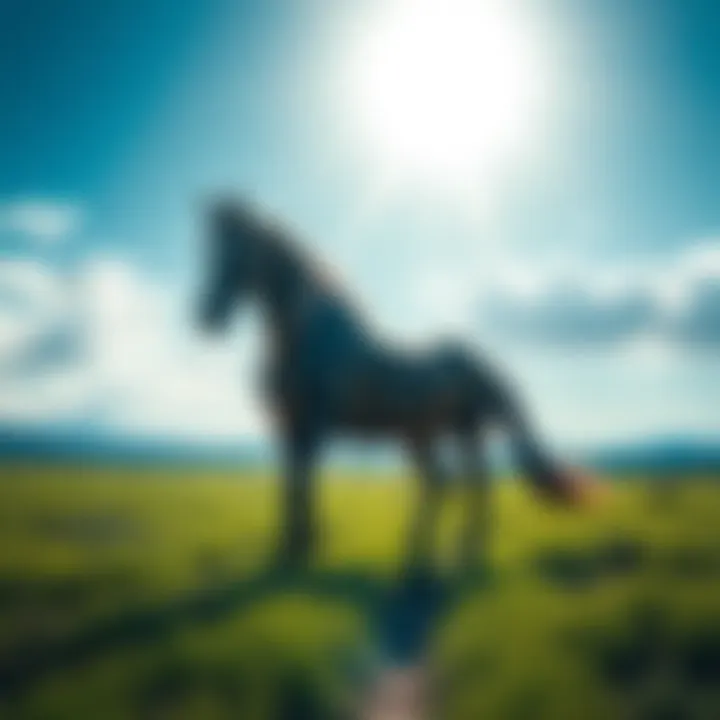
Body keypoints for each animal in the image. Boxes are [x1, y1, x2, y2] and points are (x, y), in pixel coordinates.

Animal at [196, 197, 599, 568]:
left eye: (239, 255)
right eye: (213, 251)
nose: (207, 317)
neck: (305, 339)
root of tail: (481, 361)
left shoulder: (312, 424)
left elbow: (303, 483)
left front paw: (303, 546)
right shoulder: (290, 426)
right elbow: (290, 486)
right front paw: (290, 545)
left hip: (461, 431)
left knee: (469, 484)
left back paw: (456, 550)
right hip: (435, 434)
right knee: (447, 483)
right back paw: (427, 548)